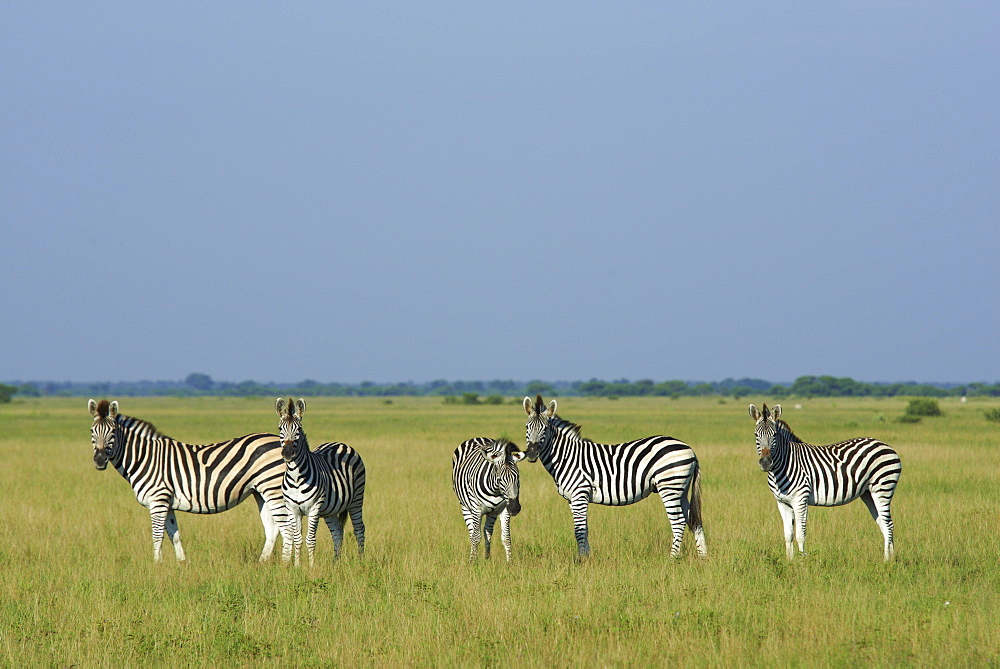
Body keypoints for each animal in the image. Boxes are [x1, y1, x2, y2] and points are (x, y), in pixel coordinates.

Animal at [87, 400, 292, 560]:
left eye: (113, 431)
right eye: (91, 431)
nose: (99, 460)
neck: (145, 458)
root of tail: (278, 440)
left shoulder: (158, 500)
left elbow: (157, 536)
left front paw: (156, 567)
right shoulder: (167, 503)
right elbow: (173, 535)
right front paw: (181, 564)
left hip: (273, 489)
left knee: (286, 527)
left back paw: (285, 565)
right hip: (260, 492)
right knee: (272, 528)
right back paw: (262, 563)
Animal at [276, 396, 366, 564]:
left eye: (298, 430)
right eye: (280, 429)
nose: (288, 453)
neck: (296, 477)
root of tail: (341, 443)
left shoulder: (314, 508)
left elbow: (310, 539)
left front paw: (311, 567)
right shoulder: (292, 509)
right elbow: (297, 539)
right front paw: (297, 566)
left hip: (356, 500)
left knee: (359, 529)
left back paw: (361, 560)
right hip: (331, 510)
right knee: (337, 532)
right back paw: (335, 563)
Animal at [520, 392, 708, 560]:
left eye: (545, 429)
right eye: (527, 427)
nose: (532, 454)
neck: (567, 457)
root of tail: (689, 448)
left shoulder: (579, 494)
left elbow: (578, 530)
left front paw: (581, 560)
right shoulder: (572, 499)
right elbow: (584, 529)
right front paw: (586, 557)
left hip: (669, 486)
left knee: (678, 523)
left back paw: (672, 559)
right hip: (681, 489)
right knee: (693, 520)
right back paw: (703, 558)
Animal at [748, 402, 904, 560]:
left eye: (774, 435)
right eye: (756, 435)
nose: (766, 463)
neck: (785, 464)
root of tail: (885, 445)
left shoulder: (800, 500)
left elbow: (800, 535)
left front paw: (802, 561)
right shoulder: (782, 503)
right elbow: (788, 535)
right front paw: (789, 560)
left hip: (883, 488)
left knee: (888, 525)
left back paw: (886, 561)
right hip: (868, 493)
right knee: (884, 524)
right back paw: (891, 559)